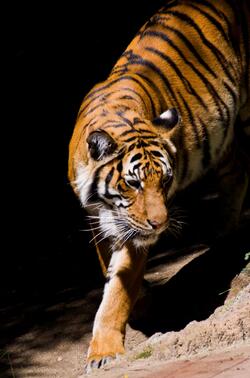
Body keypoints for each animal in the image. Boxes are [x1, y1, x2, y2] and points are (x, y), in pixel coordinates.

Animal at [67, 0, 249, 372]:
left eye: (165, 180)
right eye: (132, 184)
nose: (160, 225)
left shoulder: (134, 234)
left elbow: (117, 294)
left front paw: (104, 352)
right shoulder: (99, 218)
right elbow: (112, 273)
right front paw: (142, 301)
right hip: (221, 140)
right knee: (237, 168)